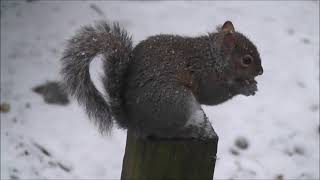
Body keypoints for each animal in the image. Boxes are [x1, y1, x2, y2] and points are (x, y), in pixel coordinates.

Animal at [60, 20, 262, 139]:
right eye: (246, 60)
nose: (261, 71)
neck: (213, 57)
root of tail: (135, 122)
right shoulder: (205, 75)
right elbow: (214, 95)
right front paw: (245, 88)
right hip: (177, 100)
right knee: (167, 132)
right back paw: (190, 130)